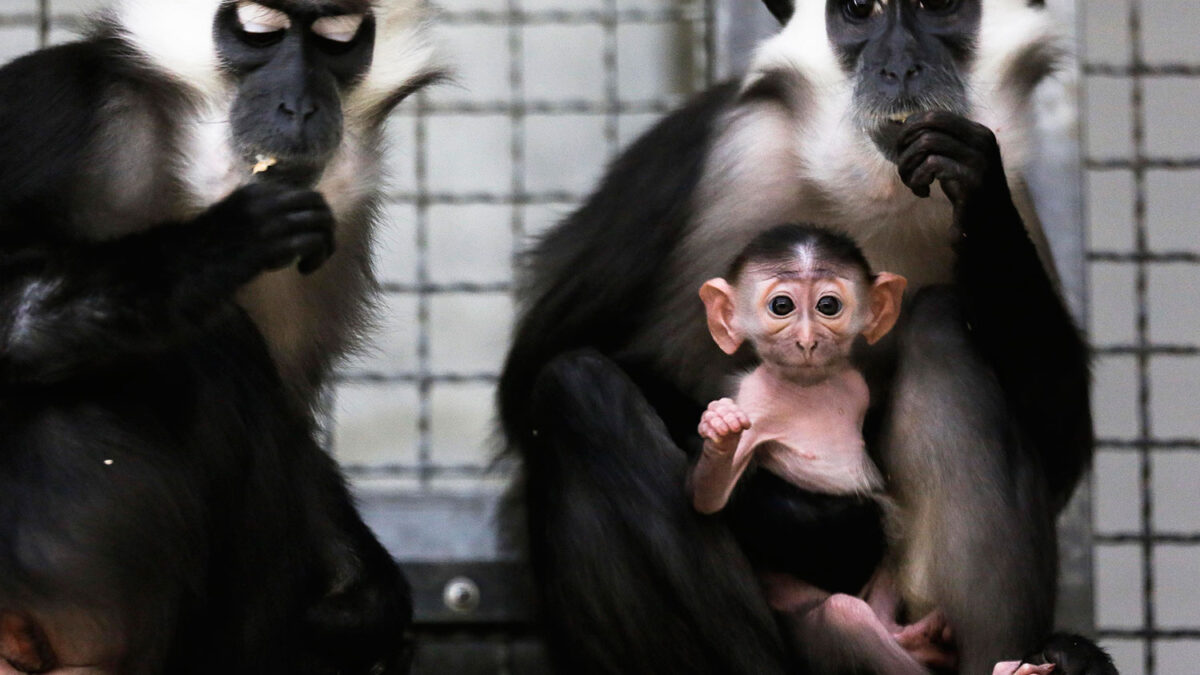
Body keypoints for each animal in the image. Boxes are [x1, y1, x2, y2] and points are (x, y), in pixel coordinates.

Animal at [0, 1, 446, 672]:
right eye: (258, 30)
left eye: (337, 39)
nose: (299, 105)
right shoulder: (52, 108)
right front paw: (215, 249)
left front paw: (367, 603)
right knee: (220, 343)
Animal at [499, 1, 1113, 672]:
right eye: (859, 11)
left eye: (937, 8)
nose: (900, 66)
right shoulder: (713, 149)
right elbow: (531, 376)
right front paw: (822, 523)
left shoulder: (1018, 194)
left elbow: (1059, 449)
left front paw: (974, 186)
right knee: (577, 390)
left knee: (942, 323)